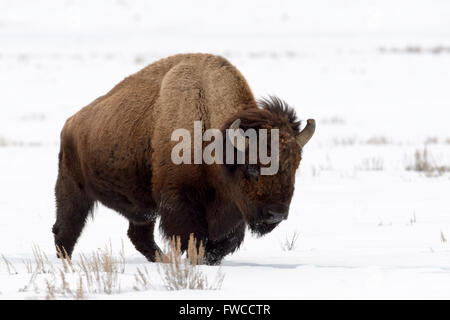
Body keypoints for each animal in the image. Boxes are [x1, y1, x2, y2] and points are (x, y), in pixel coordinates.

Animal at [52, 53, 314, 264]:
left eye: (294, 167)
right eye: (251, 167)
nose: (276, 214)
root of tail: (70, 123)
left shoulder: (232, 209)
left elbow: (224, 242)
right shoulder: (180, 202)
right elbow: (193, 238)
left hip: (141, 209)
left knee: (138, 234)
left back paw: (162, 260)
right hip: (73, 189)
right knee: (66, 228)